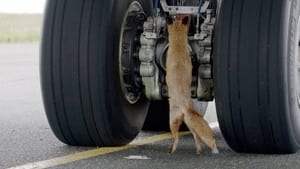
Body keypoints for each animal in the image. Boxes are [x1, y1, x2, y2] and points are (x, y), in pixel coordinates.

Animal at [165, 15, 219, 154]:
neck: (178, 47)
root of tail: (187, 108)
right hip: (189, 124)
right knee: (197, 137)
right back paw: (198, 151)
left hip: (172, 120)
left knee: (176, 137)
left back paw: (172, 150)